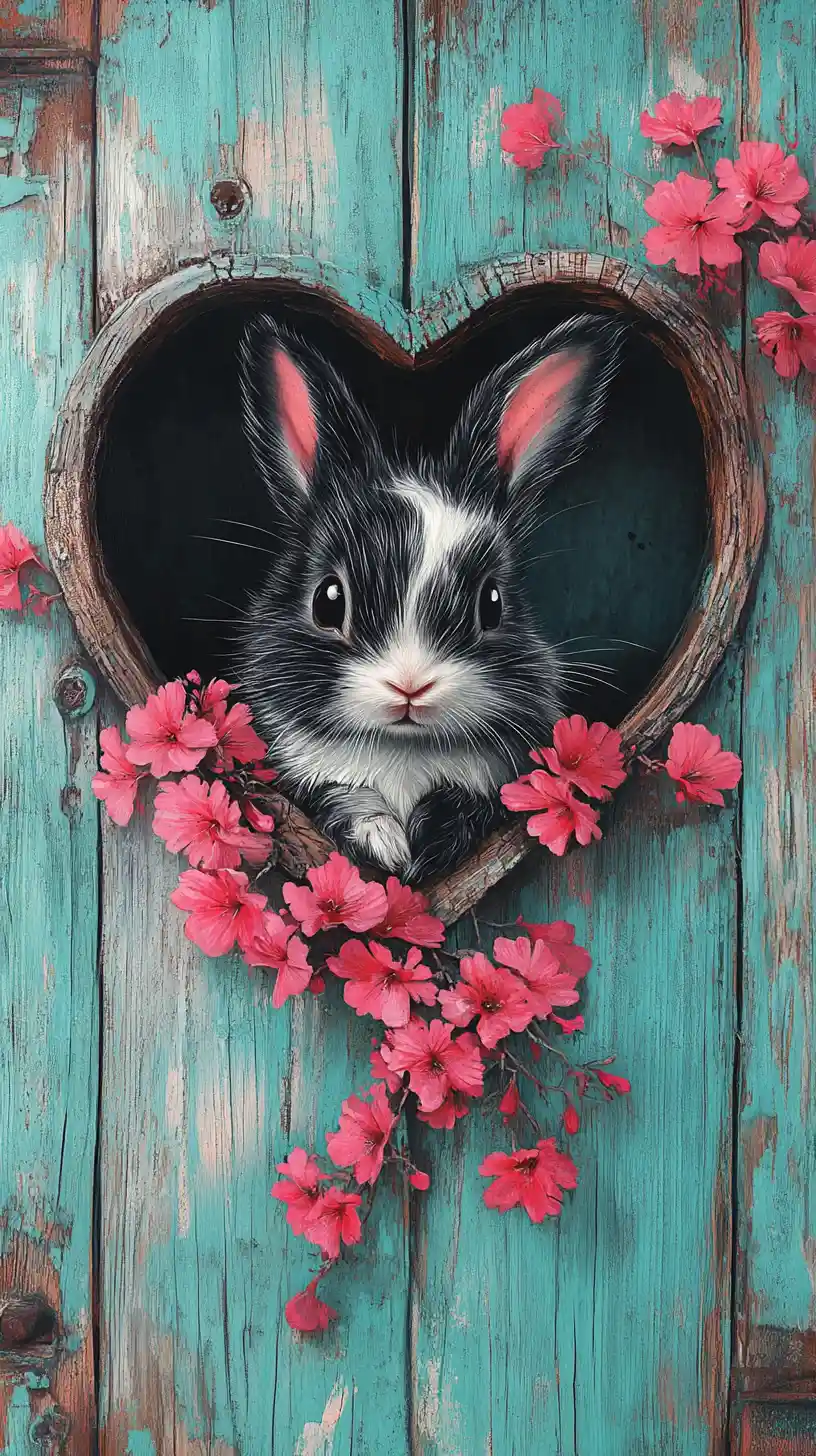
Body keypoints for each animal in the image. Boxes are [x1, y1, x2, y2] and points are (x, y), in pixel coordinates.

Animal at [234, 311, 625, 882]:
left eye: (492, 604)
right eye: (329, 600)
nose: (410, 686)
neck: (402, 752)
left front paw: (427, 840)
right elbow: (344, 799)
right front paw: (385, 843)